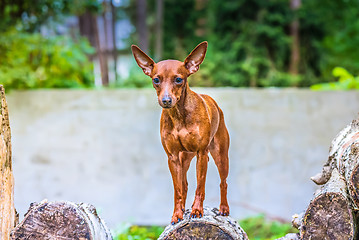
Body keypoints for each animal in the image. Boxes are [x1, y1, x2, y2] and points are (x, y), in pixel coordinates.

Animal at [132, 41, 231, 225]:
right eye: (156, 80)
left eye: (179, 79)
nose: (166, 100)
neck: (179, 115)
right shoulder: (172, 158)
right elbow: (177, 190)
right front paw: (177, 214)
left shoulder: (201, 153)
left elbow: (200, 186)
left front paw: (197, 210)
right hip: (184, 159)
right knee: (184, 185)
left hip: (220, 156)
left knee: (223, 182)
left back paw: (223, 208)